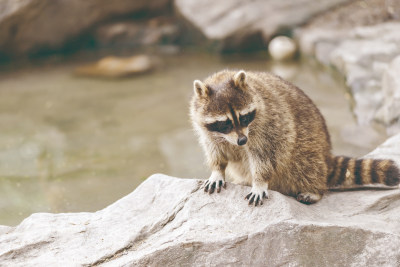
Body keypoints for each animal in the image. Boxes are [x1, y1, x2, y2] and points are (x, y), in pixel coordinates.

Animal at [189, 70, 398, 206]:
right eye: (225, 123)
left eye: (244, 117)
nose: (242, 141)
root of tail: (326, 154)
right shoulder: (208, 131)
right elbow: (215, 150)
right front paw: (217, 170)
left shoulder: (270, 124)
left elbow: (265, 155)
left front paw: (260, 181)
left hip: (308, 146)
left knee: (303, 164)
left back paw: (314, 190)